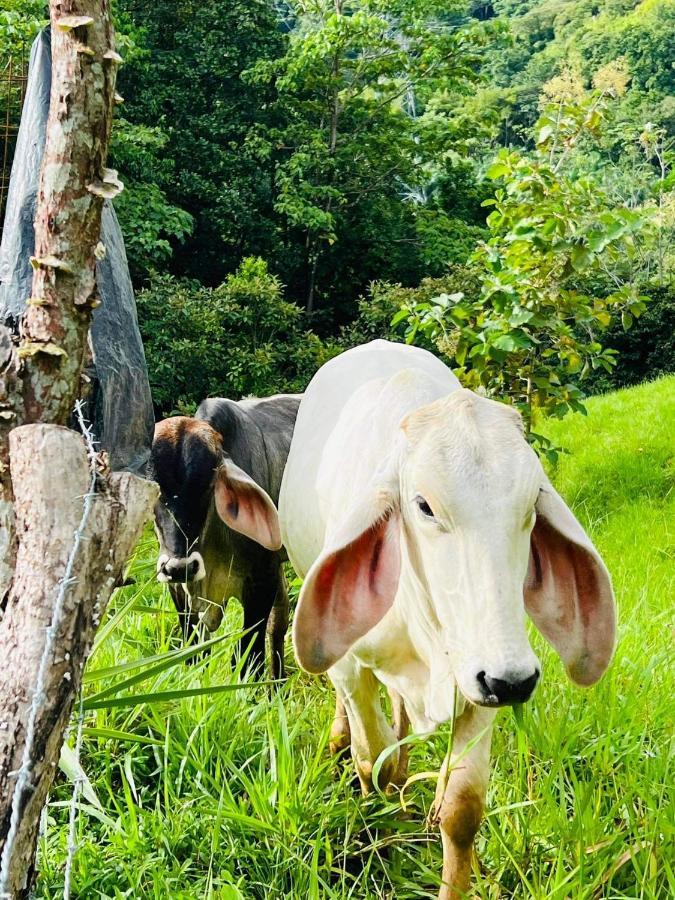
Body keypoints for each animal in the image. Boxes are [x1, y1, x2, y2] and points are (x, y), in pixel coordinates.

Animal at [280, 342, 616, 896]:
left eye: (532, 503)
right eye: (424, 506)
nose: (513, 680)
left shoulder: (477, 679)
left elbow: (462, 805)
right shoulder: (352, 666)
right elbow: (374, 761)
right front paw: (387, 838)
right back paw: (341, 740)